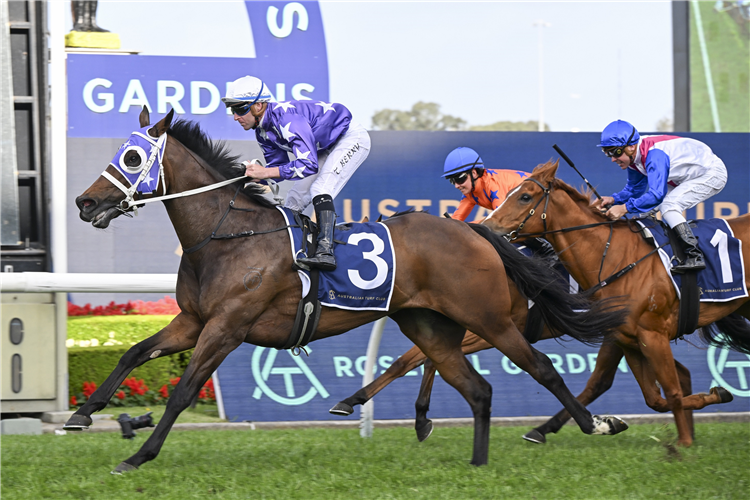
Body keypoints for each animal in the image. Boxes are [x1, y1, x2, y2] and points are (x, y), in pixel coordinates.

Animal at [64, 109, 632, 472]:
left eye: (133, 157)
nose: (84, 203)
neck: (229, 235)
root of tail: (476, 230)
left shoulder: (228, 327)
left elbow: (183, 390)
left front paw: (138, 455)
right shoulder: (194, 321)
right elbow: (134, 354)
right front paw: (81, 415)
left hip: (490, 319)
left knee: (541, 369)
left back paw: (593, 425)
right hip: (430, 325)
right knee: (477, 389)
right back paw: (476, 462)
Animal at [482, 159, 750, 446]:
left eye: (524, 196)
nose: (485, 227)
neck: (616, 257)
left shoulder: (653, 335)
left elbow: (672, 392)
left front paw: (685, 444)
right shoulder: (628, 339)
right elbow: (655, 399)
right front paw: (714, 398)